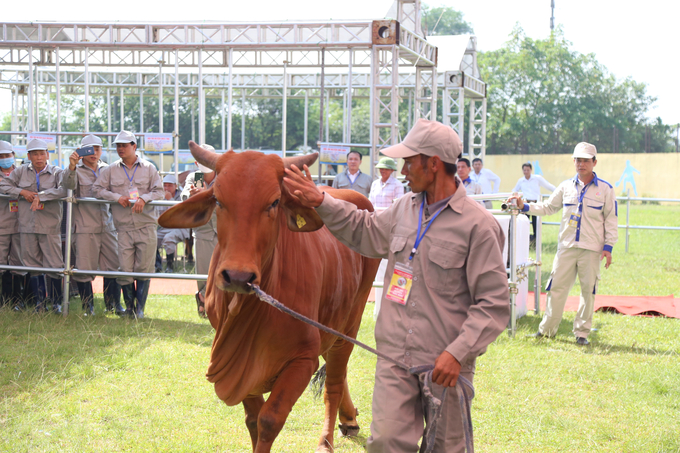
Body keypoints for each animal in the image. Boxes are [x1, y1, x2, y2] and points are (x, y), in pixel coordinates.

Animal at [159, 142, 382, 452]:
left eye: (275, 202)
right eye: (218, 200)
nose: (237, 276)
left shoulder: (303, 359)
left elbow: (269, 420)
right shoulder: (237, 361)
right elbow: (253, 419)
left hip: (350, 322)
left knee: (334, 381)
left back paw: (326, 440)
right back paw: (348, 418)